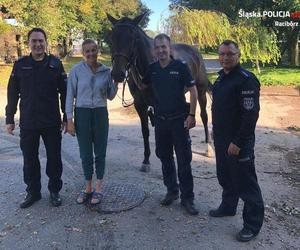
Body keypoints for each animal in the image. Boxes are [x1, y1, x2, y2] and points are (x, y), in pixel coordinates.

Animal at [108, 12, 213, 171]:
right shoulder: (140, 104)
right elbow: (145, 131)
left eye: (133, 39)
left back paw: (208, 148)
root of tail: (195, 51)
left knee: (204, 116)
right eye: (112, 38)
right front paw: (146, 160)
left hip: (200, 90)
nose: (117, 74)